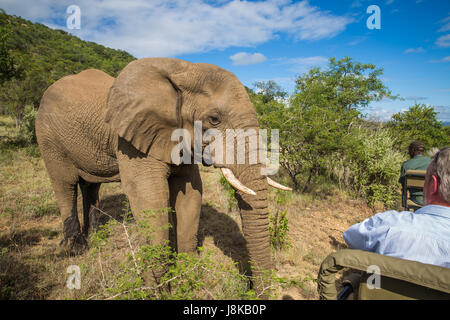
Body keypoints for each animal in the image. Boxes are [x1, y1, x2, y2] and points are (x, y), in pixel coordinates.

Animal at [34, 57, 288, 290]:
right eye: (214, 119)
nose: (252, 288)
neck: (183, 69)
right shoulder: (132, 140)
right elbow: (149, 197)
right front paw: (157, 289)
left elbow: (191, 194)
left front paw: (187, 279)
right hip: (48, 137)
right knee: (65, 185)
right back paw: (76, 249)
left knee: (90, 186)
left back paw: (97, 237)